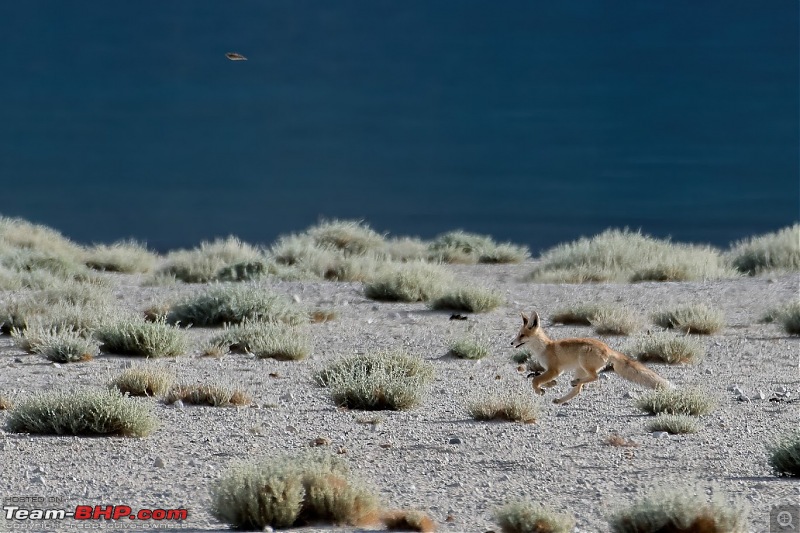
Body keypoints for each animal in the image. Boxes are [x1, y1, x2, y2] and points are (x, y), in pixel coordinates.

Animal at [512, 310, 668, 402]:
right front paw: (550, 385)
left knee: (595, 377)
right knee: (578, 389)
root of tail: (608, 348)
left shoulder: (554, 370)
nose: (512, 343)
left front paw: (539, 390)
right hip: (579, 369)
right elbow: (541, 379)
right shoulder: (552, 371)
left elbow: (535, 380)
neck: (545, 348)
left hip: (584, 363)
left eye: (522, 335)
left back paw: (574, 384)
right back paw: (562, 398)